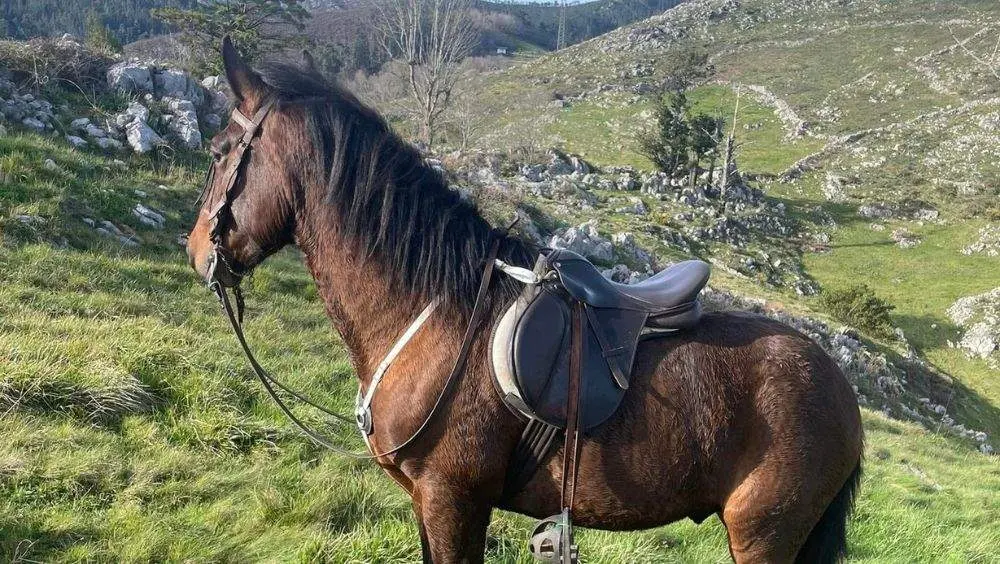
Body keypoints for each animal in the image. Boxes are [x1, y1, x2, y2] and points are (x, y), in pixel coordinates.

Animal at [186, 38, 863, 563]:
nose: (196, 253)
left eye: (218, 152)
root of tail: (838, 385)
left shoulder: (453, 500)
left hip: (764, 536)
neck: (434, 316)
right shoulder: (430, 504)